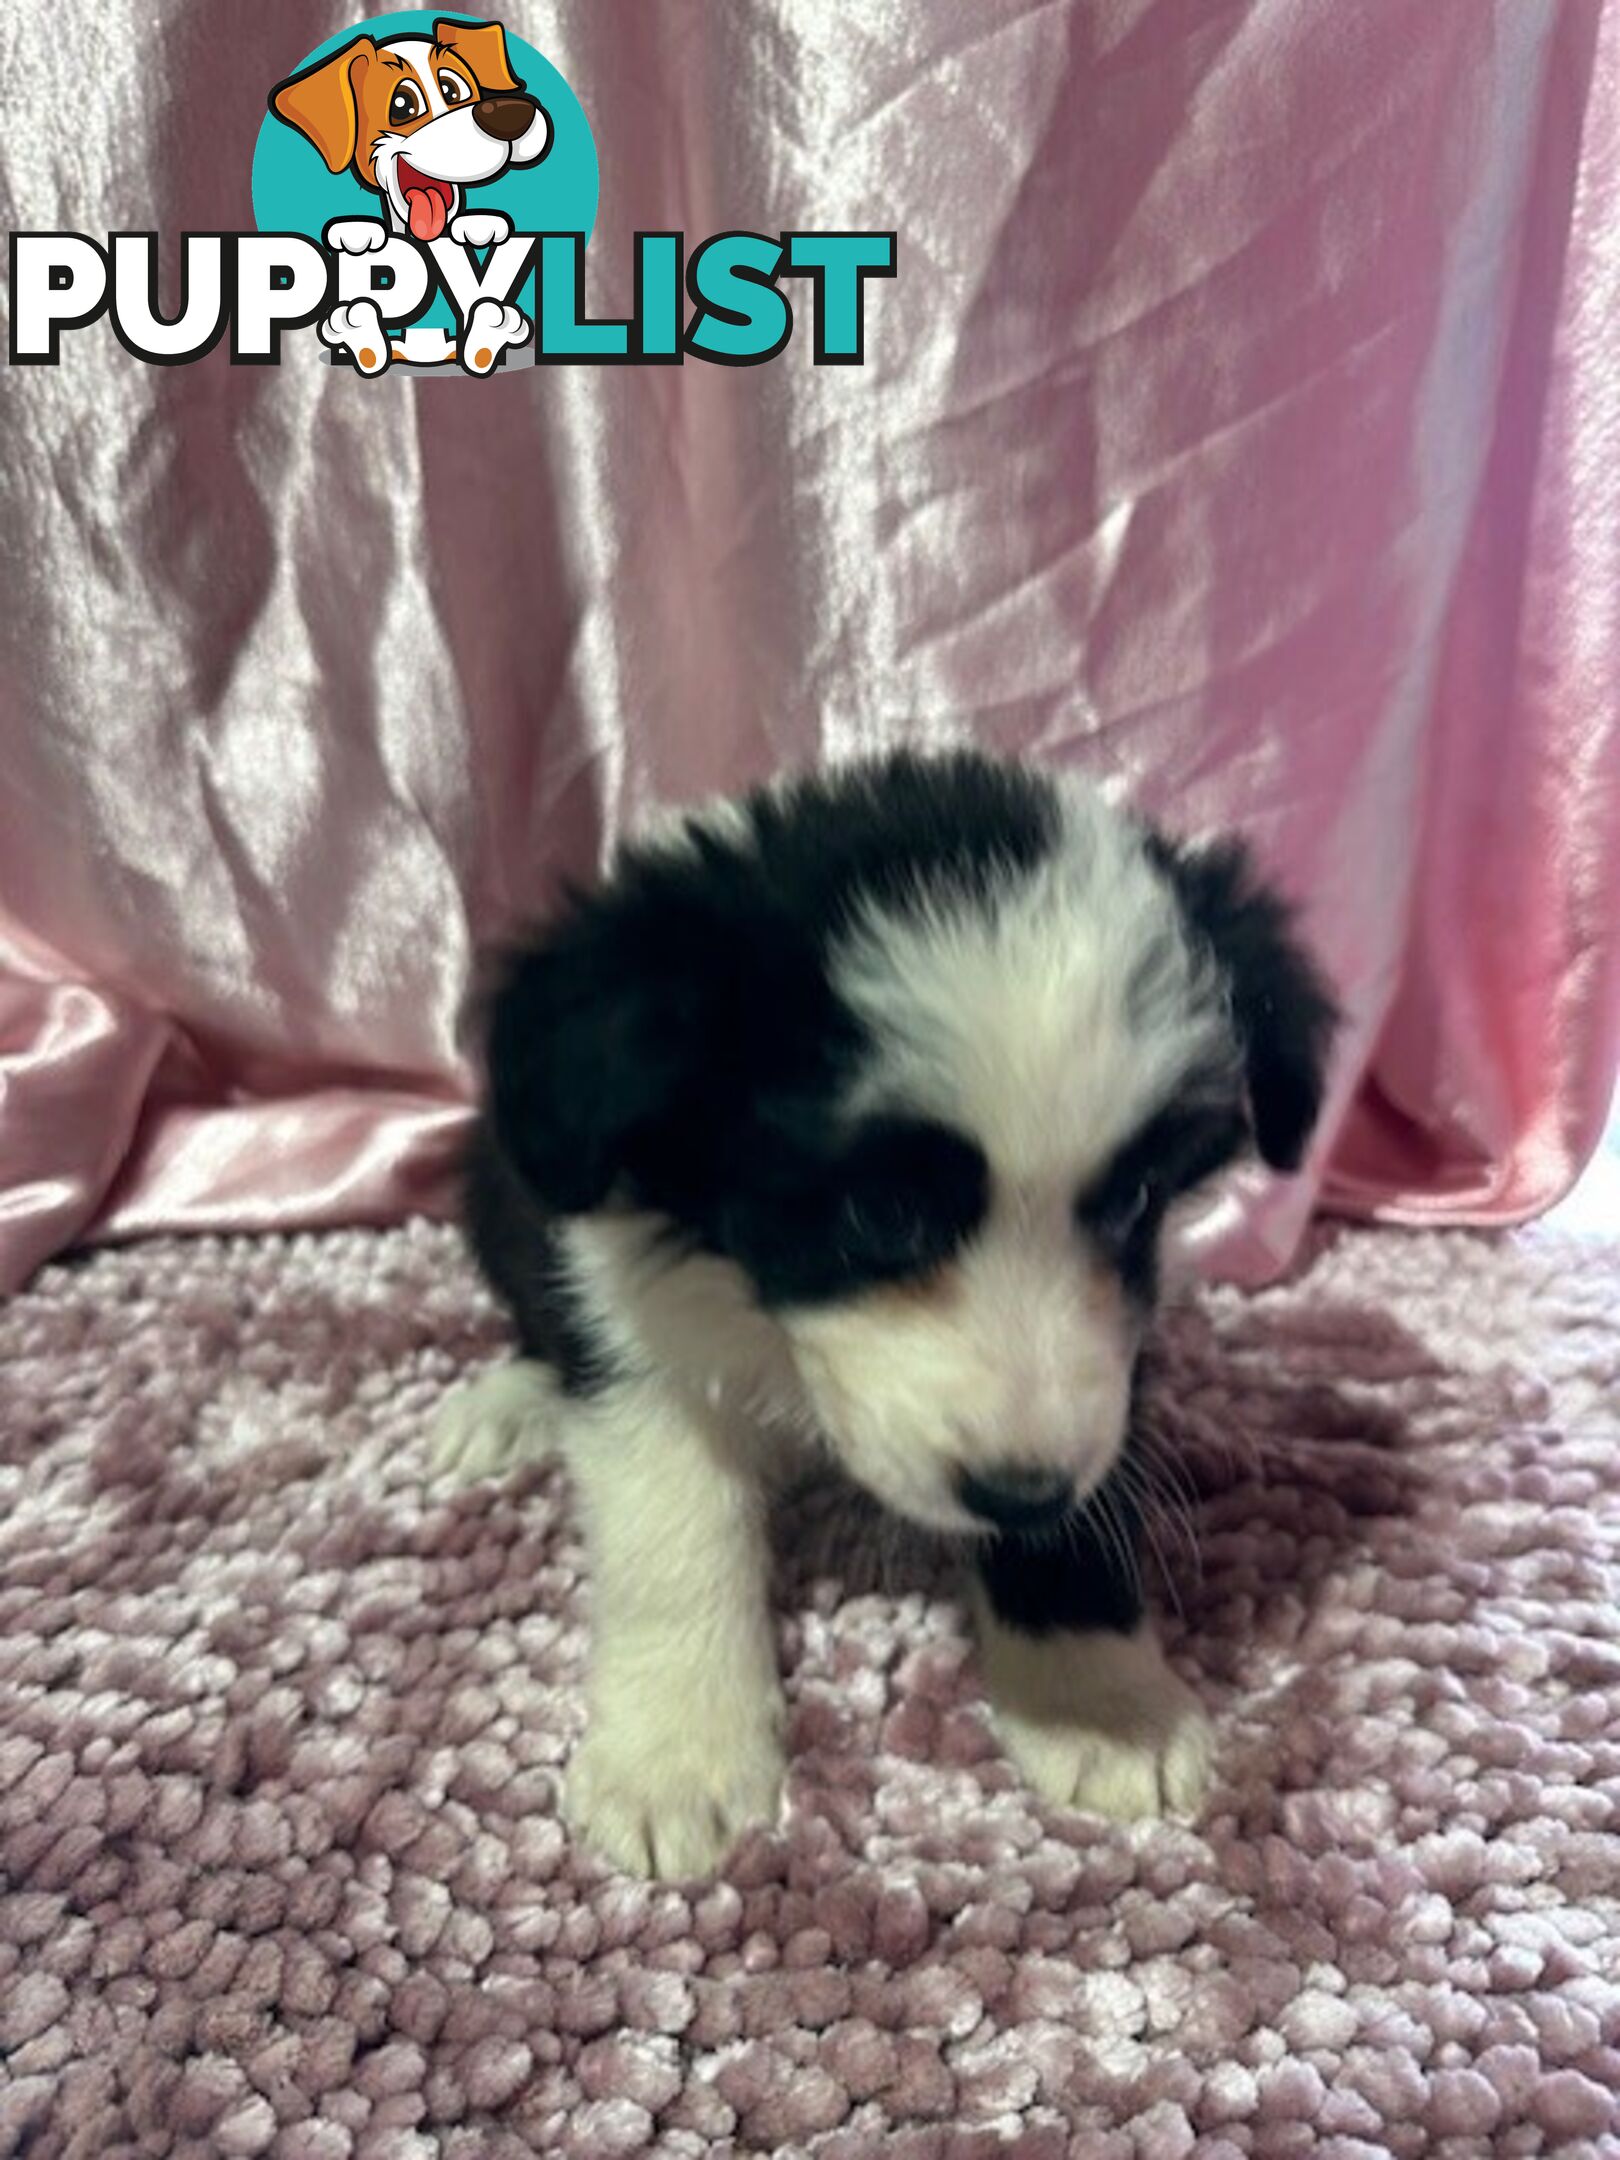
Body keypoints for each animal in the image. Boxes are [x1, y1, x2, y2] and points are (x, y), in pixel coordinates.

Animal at [438, 747, 1339, 1874]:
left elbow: (1093, 1496)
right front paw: (677, 1758)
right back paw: (504, 1404)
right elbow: (673, 1531)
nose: (1019, 1495)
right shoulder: (625, 1315)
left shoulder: (1114, 1347)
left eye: (1134, 1198)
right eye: (880, 1211)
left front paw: (1098, 1700)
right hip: (497, 1181)